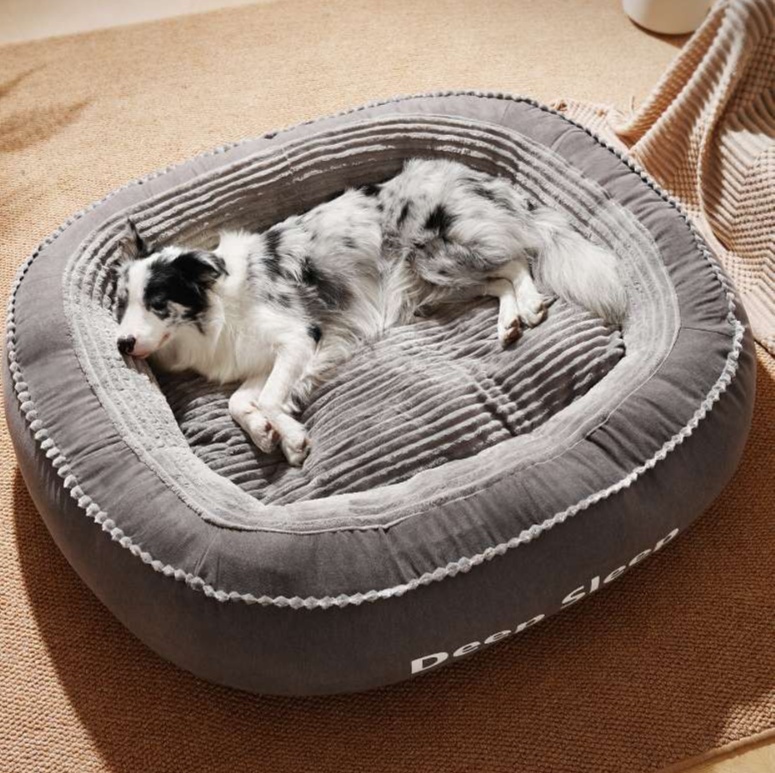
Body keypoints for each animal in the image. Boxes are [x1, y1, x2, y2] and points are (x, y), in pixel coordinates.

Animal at [115, 158, 626, 465]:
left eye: (156, 303)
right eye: (123, 304)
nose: (121, 343)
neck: (216, 304)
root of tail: (482, 180)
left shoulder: (300, 337)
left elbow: (268, 398)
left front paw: (291, 439)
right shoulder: (264, 357)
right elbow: (241, 402)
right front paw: (264, 433)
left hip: (439, 254)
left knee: (519, 259)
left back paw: (532, 306)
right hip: (438, 284)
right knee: (501, 279)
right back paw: (511, 321)